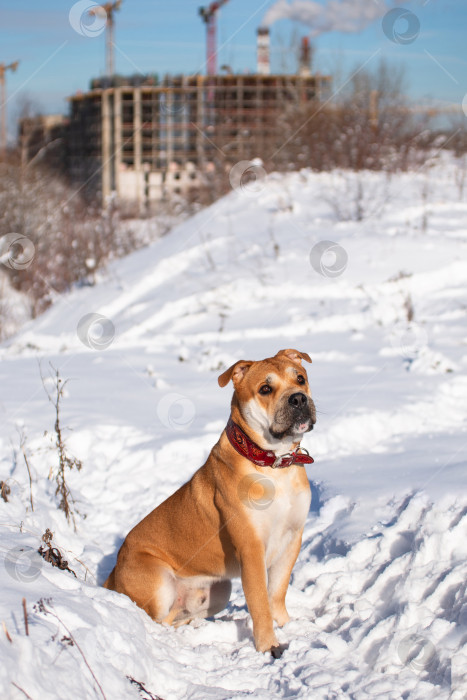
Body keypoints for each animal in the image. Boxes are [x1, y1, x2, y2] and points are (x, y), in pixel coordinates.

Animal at [104, 348, 316, 656]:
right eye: (265, 389)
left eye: (300, 378)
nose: (298, 398)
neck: (274, 465)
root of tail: (112, 575)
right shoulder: (251, 548)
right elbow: (259, 602)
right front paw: (269, 645)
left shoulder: (292, 537)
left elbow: (277, 592)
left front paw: (287, 625)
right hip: (158, 582)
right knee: (156, 619)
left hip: (218, 591)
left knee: (178, 615)